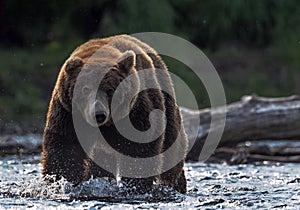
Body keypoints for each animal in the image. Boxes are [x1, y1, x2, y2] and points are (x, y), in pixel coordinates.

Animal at [42, 34, 188, 194]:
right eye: (85, 89)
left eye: (110, 89)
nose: (99, 114)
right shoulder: (68, 112)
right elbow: (66, 147)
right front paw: (60, 182)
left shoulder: (136, 111)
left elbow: (139, 148)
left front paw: (135, 185)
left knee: (172, 150)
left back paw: (176, 184)